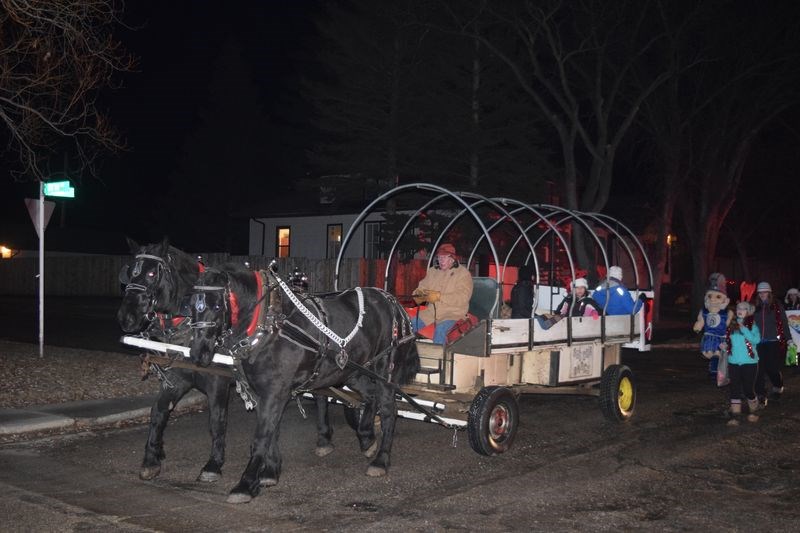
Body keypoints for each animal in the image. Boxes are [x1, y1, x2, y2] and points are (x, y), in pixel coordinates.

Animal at [117, 237, 233, 482]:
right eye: (130, 272)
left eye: (152, 273)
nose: (126, 317)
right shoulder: (176, 378)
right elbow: (158, 412)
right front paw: (152, 457)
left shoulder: (218, 381)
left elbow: (217, 420)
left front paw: (213, 464)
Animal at [188, 262, 422, 502]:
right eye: (190, 304)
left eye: (217, 305)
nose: (198, 353)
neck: (269, 326)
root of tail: (392, 302)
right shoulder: (264, 392)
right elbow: (272, 431)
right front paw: (270, 472)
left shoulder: (274, 391)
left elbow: (261, 437)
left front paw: (245, 484)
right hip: (353, 373)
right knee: (370, 398)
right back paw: (366, 438)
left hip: (385, 371)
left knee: (389, 410)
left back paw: (381, 461)